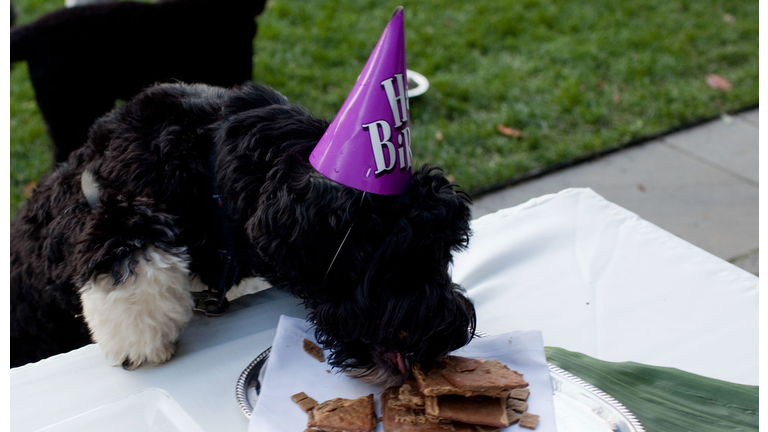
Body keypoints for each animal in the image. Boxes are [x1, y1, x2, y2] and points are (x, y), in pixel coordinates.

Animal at [10, 82, 474, 384]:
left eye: (446, 251)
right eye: (400, 258)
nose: (451, 333)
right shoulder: (93, 200)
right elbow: (127, 240)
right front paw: (141, 337)